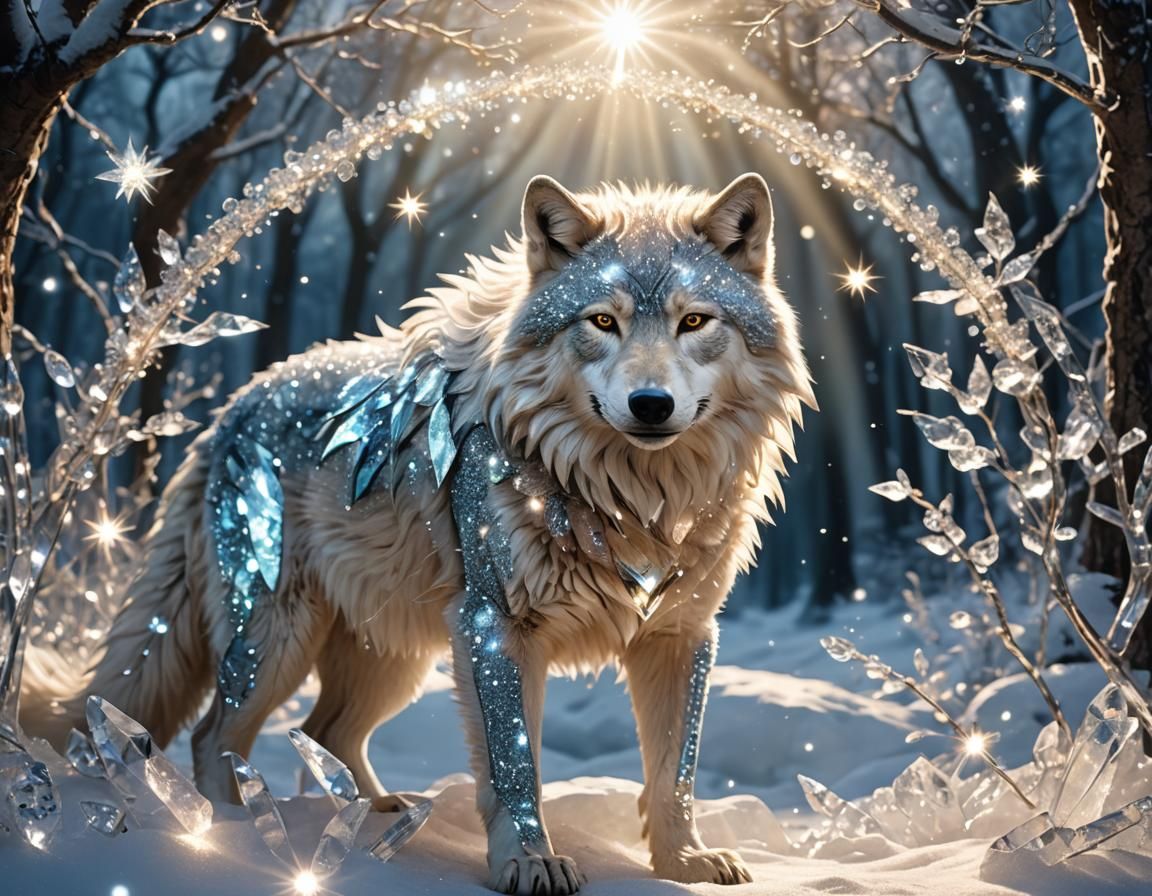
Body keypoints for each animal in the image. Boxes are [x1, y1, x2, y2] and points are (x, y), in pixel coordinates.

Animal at [25, 173, 814, 894]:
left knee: (326, 734)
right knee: (214, 736)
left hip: (395, 657)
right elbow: (516, 766)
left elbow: (675, 772)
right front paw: (530, 864)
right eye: (601, 322)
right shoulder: (495, 627)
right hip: (279, 641)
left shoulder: (681, 635)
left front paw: (685, 864)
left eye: (694, 321)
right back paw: (236, 835)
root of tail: (229, 412)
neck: (632, 499)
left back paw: (375, 817)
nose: (651, 404)